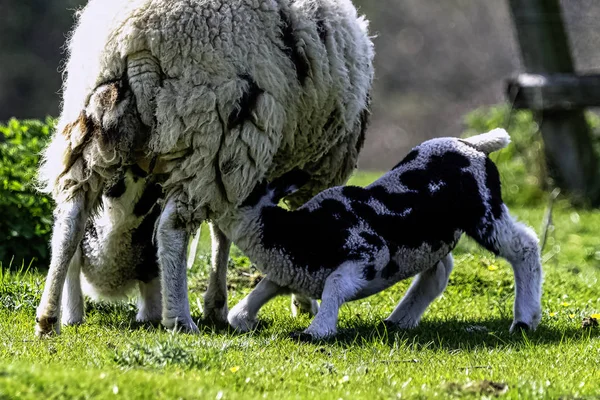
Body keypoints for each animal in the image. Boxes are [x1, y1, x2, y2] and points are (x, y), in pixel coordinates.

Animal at [35, 0, 372, 338]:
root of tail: (139, 35)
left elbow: (221, 233)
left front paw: (215, 305)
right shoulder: (311, 170)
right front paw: (301, 302)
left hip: (91, 125)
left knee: (70, 220)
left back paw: (50, 318)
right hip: (209, 133)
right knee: (171, 228)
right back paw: (179, 320)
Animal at [219, 129, 544, 340]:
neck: (293, 229)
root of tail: (472, 144)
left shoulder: (371, 251)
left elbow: (335, 284)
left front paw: (317, 330)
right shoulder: (291, 270)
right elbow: (265, 287)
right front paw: (242, 319)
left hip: (484, 210)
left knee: (524, 247)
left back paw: (524, 320)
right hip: (429, 238)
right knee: (437, 272)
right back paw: (398, 320)